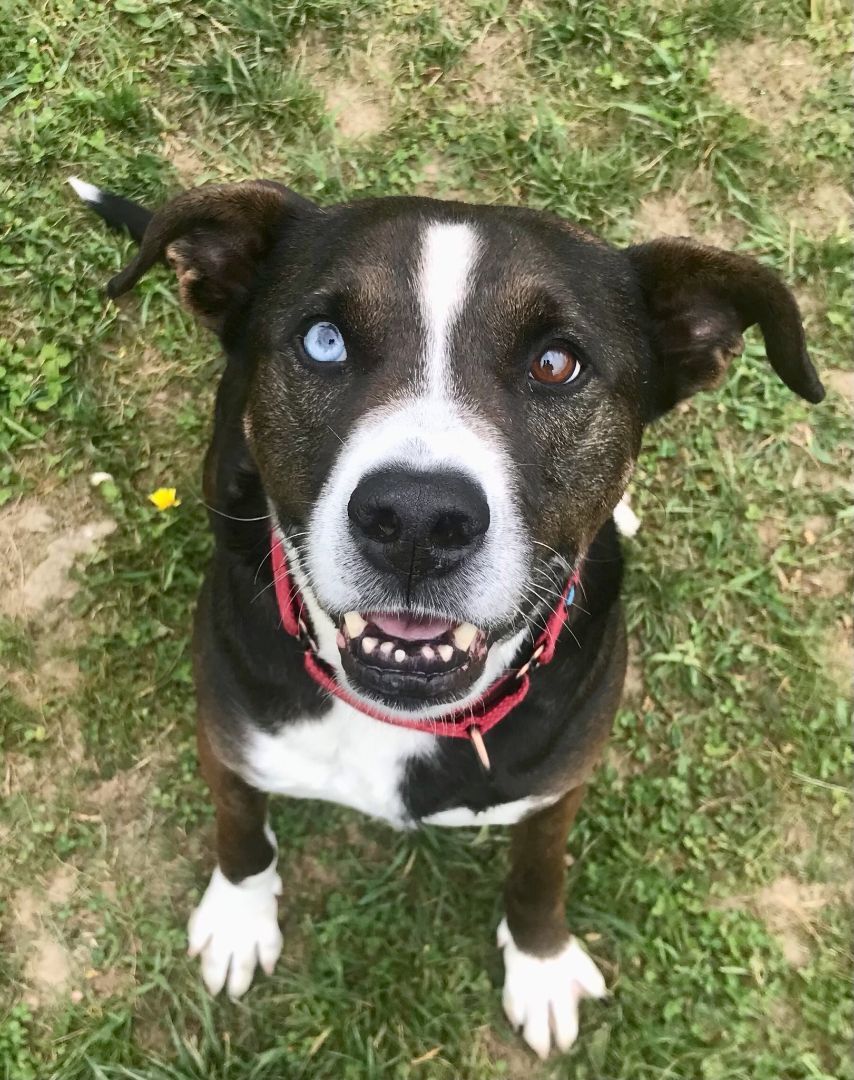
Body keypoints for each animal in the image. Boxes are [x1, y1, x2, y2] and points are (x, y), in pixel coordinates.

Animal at [71, 174, 820, 1054]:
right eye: (325, 341)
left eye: (556, 363)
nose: (418, 521)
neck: (399, 719)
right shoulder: (226, 733)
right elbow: (239, 825)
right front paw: (238, 917)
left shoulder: (562, 782)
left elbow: (539, 871)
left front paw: (540, 962)